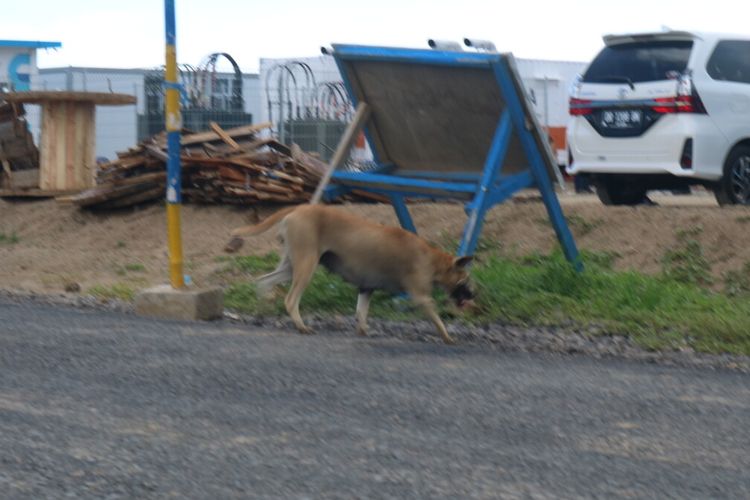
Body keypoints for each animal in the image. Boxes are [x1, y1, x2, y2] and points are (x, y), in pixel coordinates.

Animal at [231, 204, 476, 344]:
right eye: (465, 280)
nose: (473, 296)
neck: (432, 259)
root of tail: (299, 208)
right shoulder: (421, 296)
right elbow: (437, 320)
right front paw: (448, 337)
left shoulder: (366, 288)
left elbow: (361, 313)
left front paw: (363, 331)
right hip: (306, 265)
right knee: (290, 299)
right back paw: (301, 326)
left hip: (290, 266)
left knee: (263, 281)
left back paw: (262, 311)